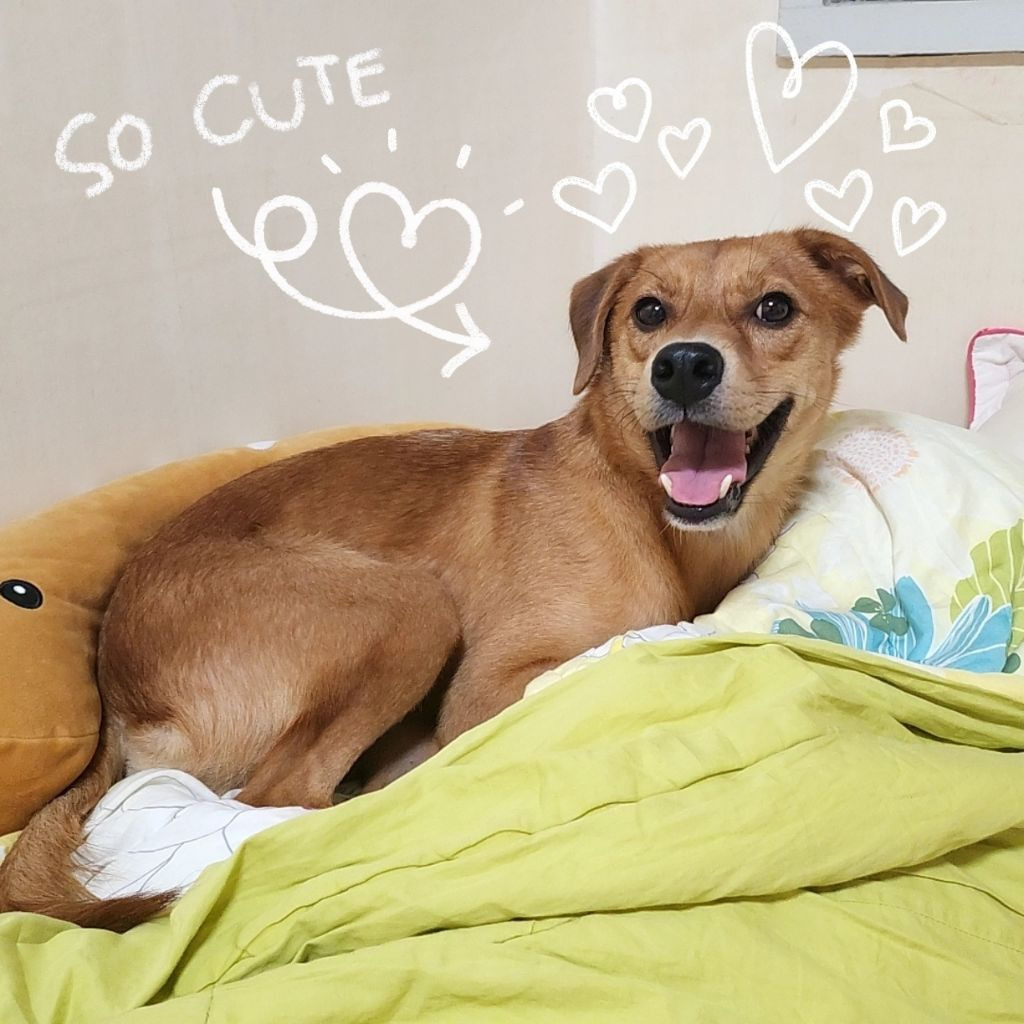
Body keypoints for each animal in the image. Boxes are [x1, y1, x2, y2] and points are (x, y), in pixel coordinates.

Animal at [0, 229, 907, 931]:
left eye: (775, 308)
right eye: (650, 312)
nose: (682, 366)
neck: (652, 513)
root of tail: (118, 698)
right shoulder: (488, 686)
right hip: (408, 606)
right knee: (285, 801)